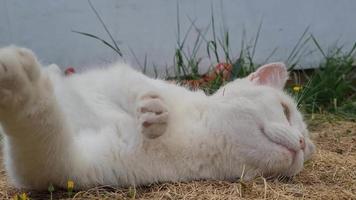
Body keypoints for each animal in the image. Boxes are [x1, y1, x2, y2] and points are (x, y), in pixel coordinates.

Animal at [0, 46, 314, 190]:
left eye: (309, 151)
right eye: (285, 110)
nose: (301, 143)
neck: (201, 133)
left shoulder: (69, 168)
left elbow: (43, 128)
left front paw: (25, 88)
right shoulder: (116, 76)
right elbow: (136, 85)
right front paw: (153, 110)